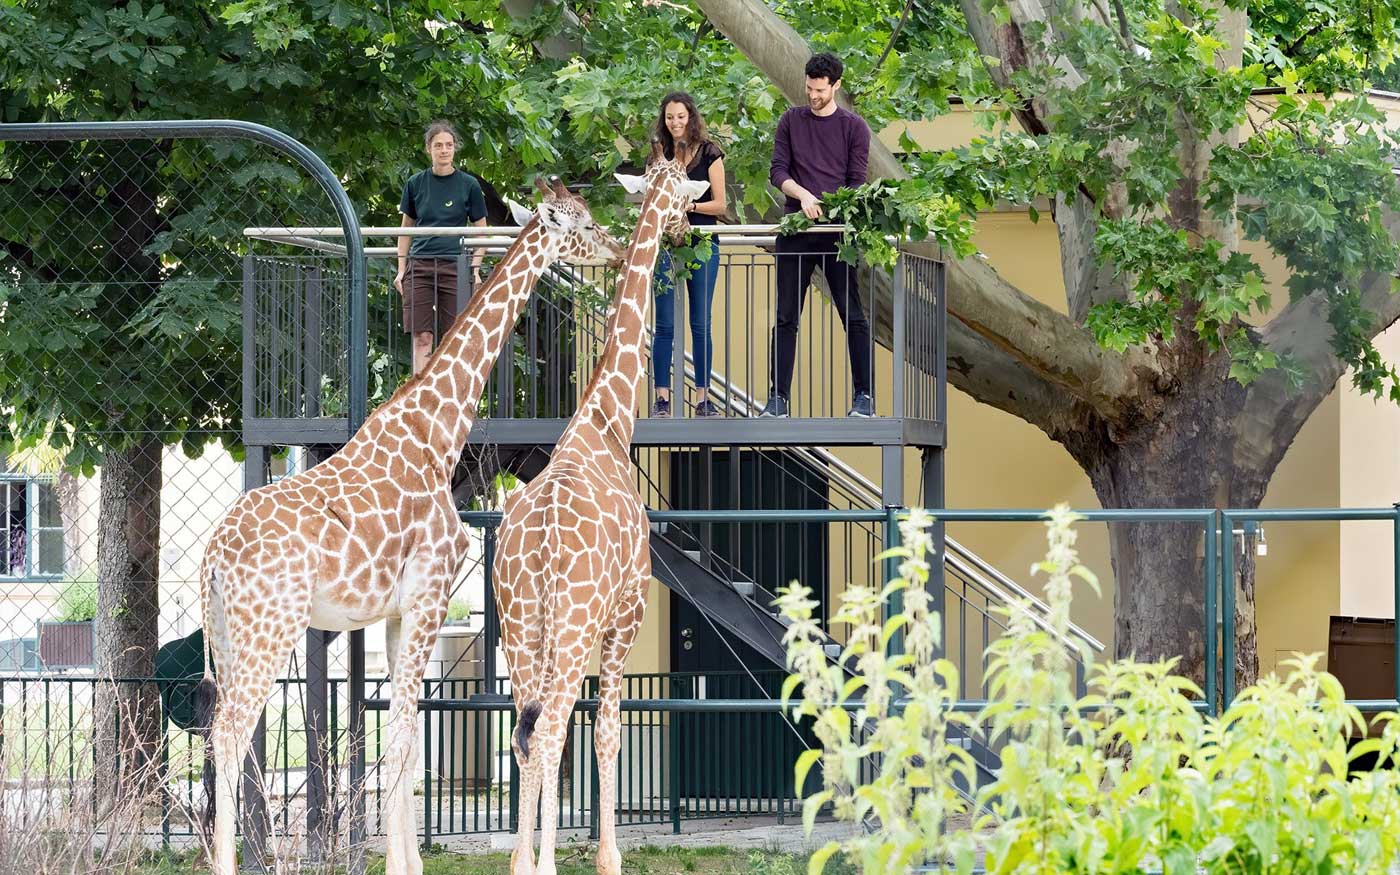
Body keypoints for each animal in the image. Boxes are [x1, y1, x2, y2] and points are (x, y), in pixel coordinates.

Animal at [197, 175, 624, 873]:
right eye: (582, 224)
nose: (613, 250)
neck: (439, 432)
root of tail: (212, 555)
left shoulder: (398, 612)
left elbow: (400, 736)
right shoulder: (430, 596)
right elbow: (401, 736)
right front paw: (405, 862)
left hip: (232, 636)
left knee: (218, 733)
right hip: (270, 628)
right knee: (231, 735)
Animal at [492, 143, 711, 873]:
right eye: (683, 191)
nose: (684, 229)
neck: (608, 419)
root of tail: (539, 540)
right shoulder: (626, 615)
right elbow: (608, 728)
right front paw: (607, 856)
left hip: (518, 625)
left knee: (525, 730)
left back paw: (520, 861)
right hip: (569, 624)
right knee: (552, 725)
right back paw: (544, 862)